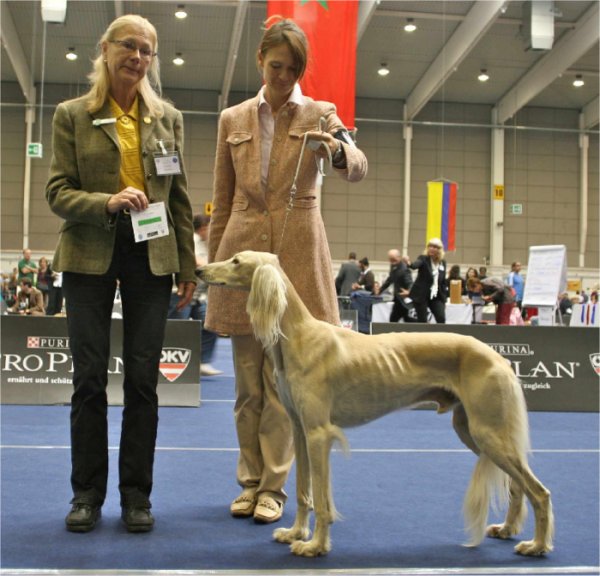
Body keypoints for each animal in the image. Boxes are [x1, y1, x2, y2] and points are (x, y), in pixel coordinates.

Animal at [199, 251, 556, 560]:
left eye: (236, 260)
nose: (200, 271)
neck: (300, 336)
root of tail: (498, 357)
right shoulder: (300, 431)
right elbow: (303, 491)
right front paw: (295, 533)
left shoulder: (318, 433)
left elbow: (322, 500)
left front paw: (315, 546)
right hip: (471, 429)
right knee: (517, 485)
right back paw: (508, 529)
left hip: (487, 431)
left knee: (539, 490)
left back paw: (537, 545)